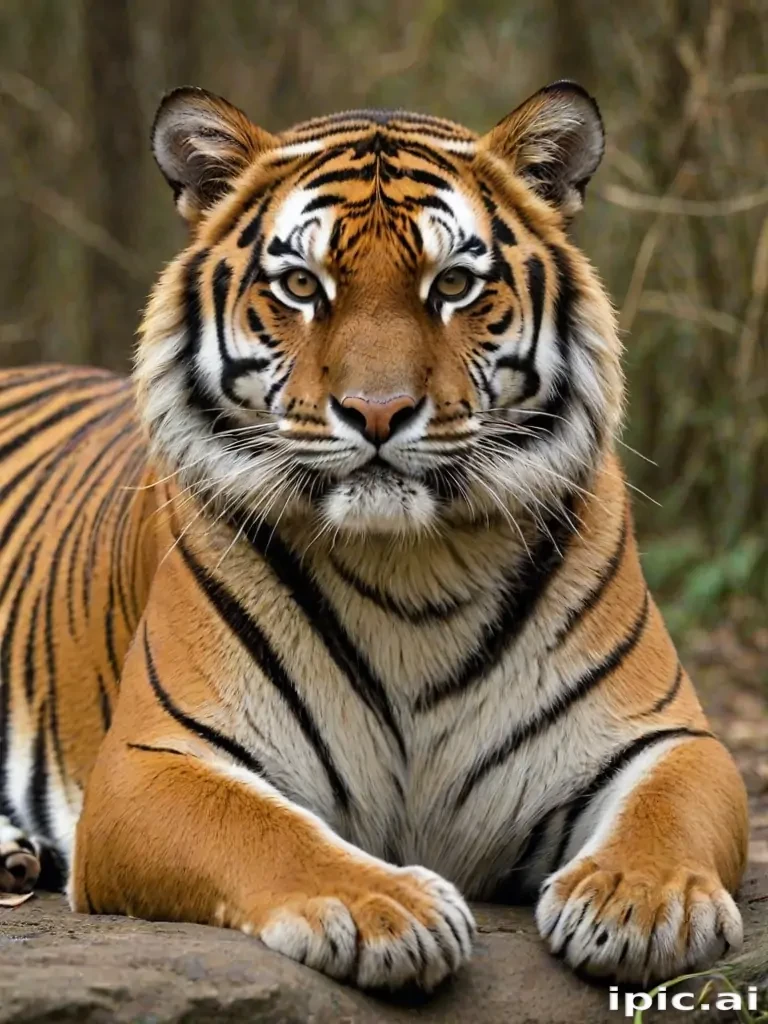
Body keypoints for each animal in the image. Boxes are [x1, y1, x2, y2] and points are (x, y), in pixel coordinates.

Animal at [0, 81, 748, 992]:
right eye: (300, 284)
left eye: (454, 283)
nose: (380, 411)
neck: (415, 568)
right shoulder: (152, 762)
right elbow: (266, 829)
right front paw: (387, 909)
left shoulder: (669, 736)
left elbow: (666, 811)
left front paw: (641, 901)